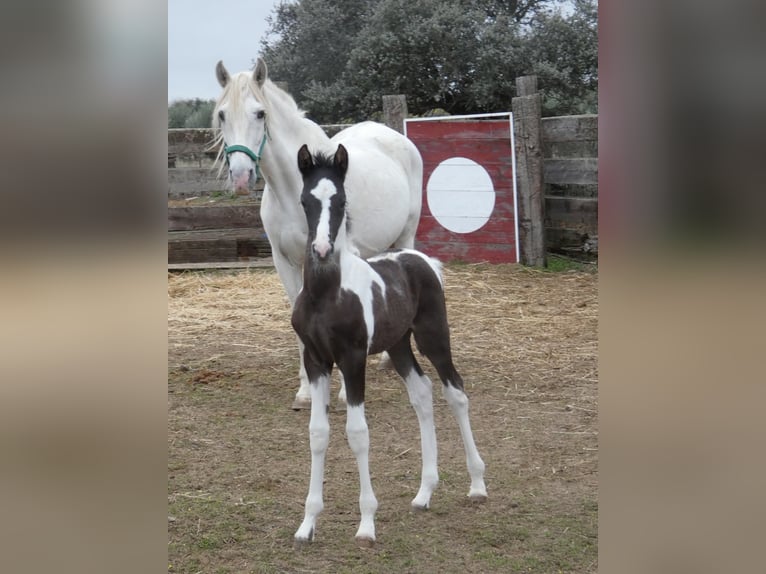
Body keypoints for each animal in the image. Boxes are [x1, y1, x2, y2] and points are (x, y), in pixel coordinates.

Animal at [213, 59, 423, 410]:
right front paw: (306, 390)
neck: (297, 191)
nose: (241, 177)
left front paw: (344, 390)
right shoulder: (285, 262)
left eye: (260, 113)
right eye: (221, 114)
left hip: (406, 234)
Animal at [290, 143, 487, 546]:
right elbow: (318, 433)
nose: (321, 248)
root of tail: (423, 260)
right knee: (422, 393)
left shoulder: (352, 359)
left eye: (341, 200)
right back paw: (424, 492)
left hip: (433, 336)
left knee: (455, 392)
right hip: (398, 346)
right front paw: (308, 524)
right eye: (305, 200)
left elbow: (358, 433)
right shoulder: (317, 360)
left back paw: (477, 484)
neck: (326, 293)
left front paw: (366, 524)